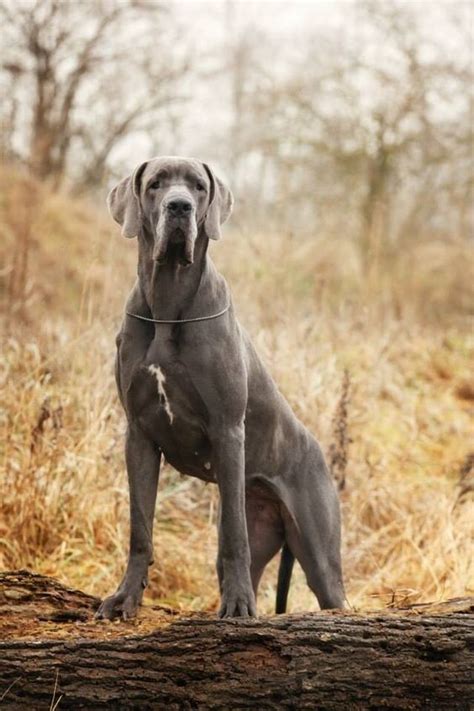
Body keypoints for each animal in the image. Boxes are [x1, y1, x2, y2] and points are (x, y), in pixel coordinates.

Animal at [96, 156, 344, 616]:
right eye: (156, 184)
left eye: (198, 186)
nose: (179, 206)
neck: (168, 303)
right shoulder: (139, 435)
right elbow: (141, 528)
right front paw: (125, 597)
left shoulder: (228, 430)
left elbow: (233, 536)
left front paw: (239, 606)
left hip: (319, 553)